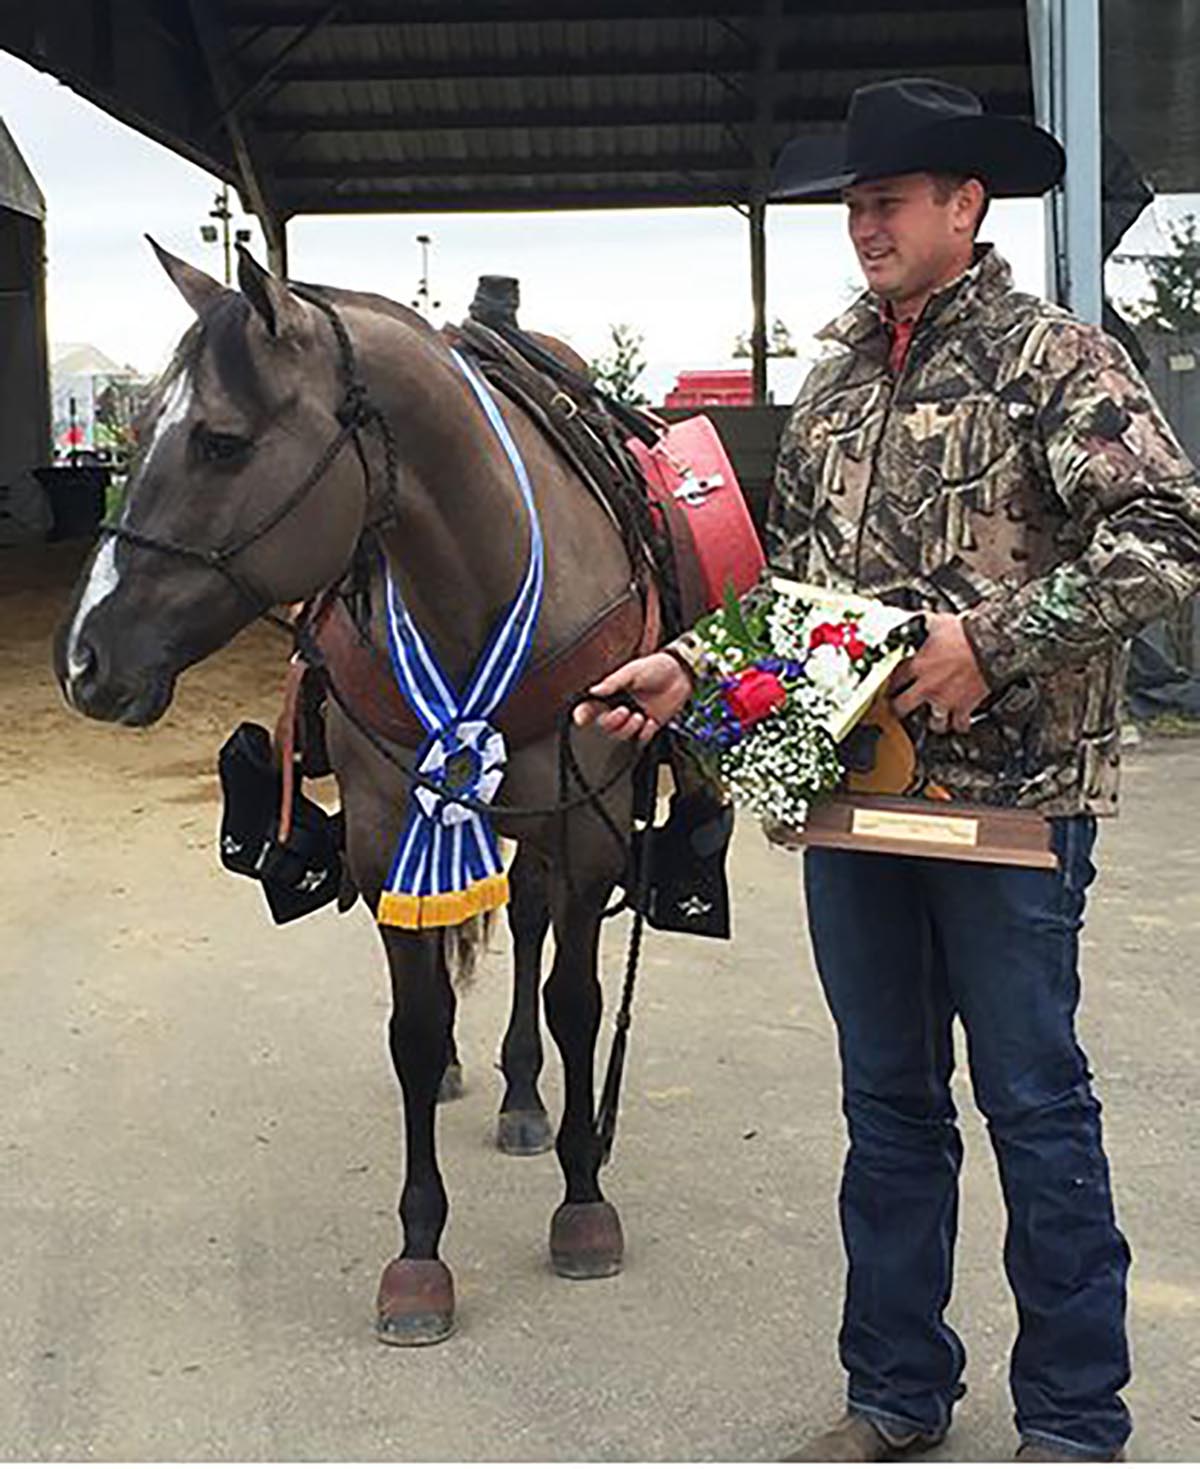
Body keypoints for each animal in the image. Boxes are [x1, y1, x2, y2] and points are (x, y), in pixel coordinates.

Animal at [53, 246, 655, 1345]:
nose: (84, 659)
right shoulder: (387, 835)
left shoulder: (584, 826)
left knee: (531, 923)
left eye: (220, 441)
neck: (485, 586)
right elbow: (412, 1032)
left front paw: (583, 1195)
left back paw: (524, 1093)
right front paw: (419, 1252)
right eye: (136, 419)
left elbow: (576, 1002)